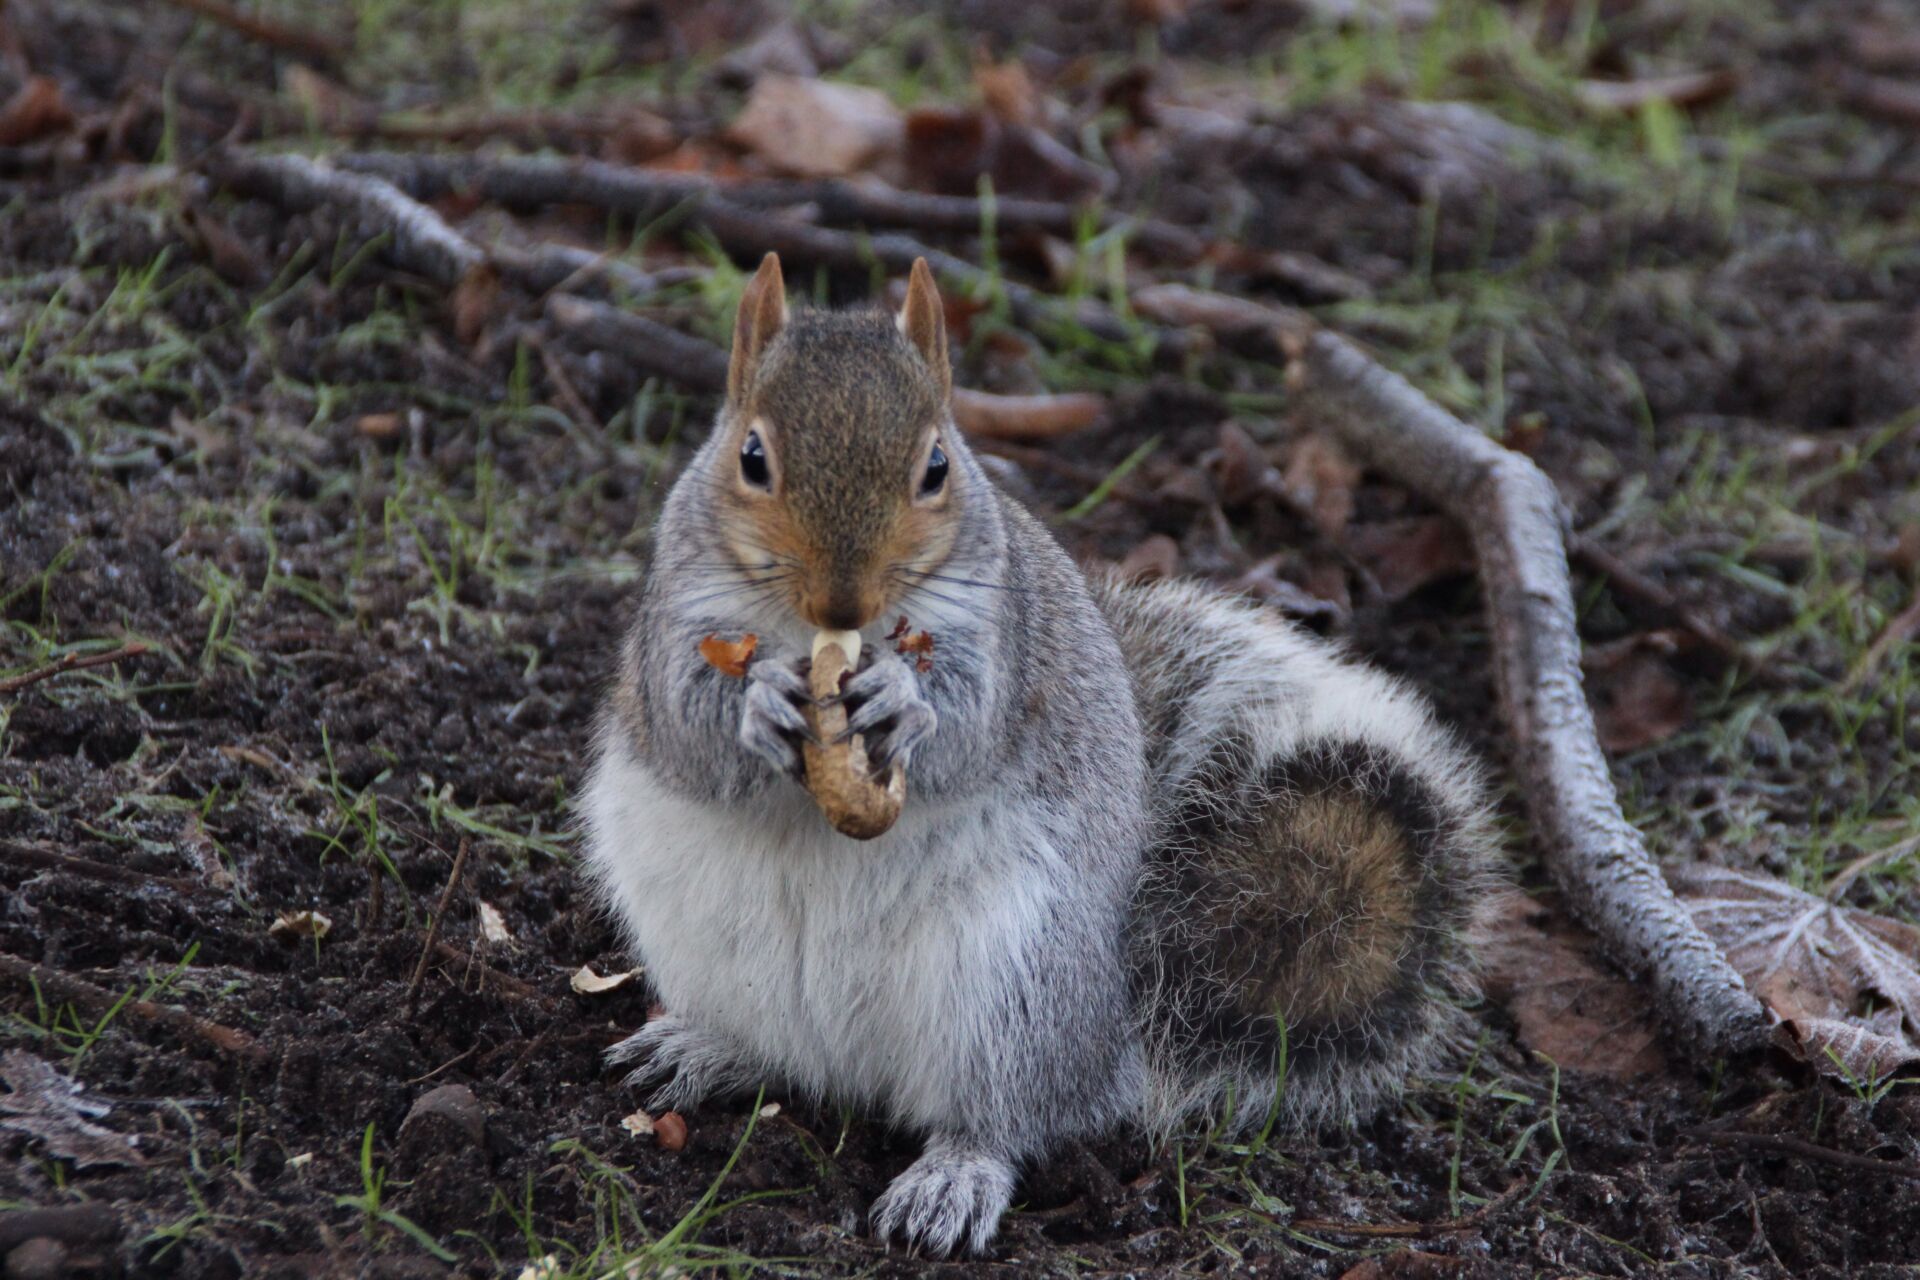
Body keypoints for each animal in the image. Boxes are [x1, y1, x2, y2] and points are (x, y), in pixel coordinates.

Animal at [582, 253, 1496, 1256]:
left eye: (937, 467)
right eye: (751, 458)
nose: (843, 600)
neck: (814, 637)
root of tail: (1109, 1041)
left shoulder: (1001, 633)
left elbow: (971, 726)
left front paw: (904, 703)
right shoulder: (673, 620)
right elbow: (684, 725)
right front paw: (759, 705)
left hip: (1011, 985)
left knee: (1005, 1117)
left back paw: (953, 1178)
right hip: (709, 943)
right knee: (785, 1054)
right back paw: (704, 1048)